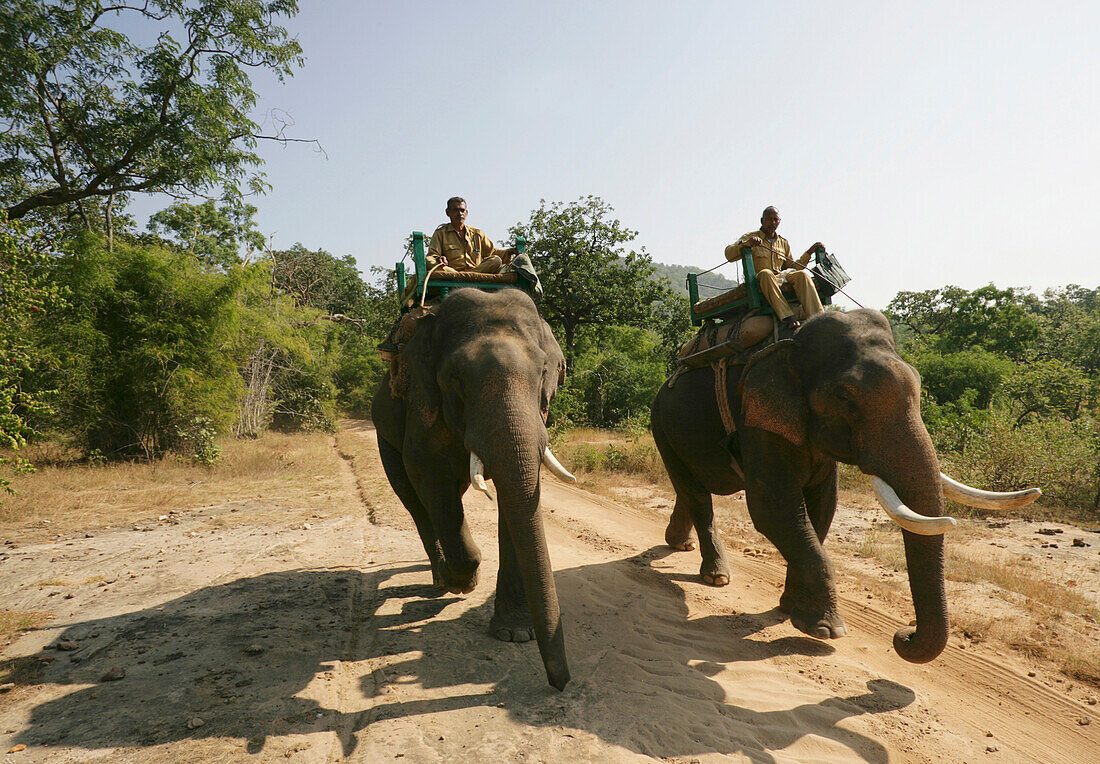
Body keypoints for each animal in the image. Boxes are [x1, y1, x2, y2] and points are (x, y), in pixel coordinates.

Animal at [371, 288, 576, 694]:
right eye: (455, 378)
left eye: (545, 371)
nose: (562, 684)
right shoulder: (422, 400)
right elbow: (429, 476)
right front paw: (465, 582)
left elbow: (520, 491)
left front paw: (515, 635)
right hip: (382, 431)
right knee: (414, 500)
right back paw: (443, 580)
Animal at [651, 309, 1038, 663]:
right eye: (845, 398)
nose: (904, 636)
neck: (793, 341)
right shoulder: (758, 416)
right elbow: (773, 509)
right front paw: (827, 629)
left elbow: (822, 508)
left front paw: (792, 610)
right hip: (662, 427)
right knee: (696, 494)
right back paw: (717, 577)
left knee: (693, 489)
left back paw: (679, 544)